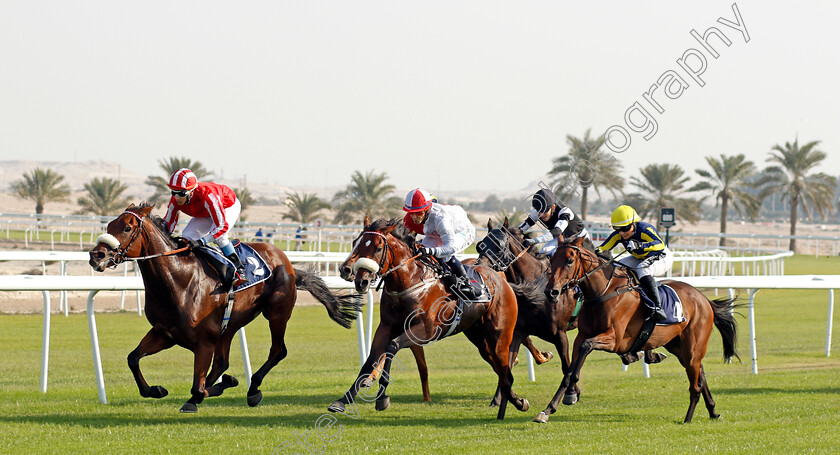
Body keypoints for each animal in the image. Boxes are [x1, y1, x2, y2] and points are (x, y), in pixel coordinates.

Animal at [88, 205, 360, 416]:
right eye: (110, 224)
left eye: (126, 228)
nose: (96, 255)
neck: (177, 280)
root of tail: (286, 261)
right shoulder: (164, 333)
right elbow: (133, 358)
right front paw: (156, 390)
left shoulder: (204, 340)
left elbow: (198, 386)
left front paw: (218, 387)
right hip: (229, 327)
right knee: (221, 363)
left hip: (276, 314)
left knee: (277, 351)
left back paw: (252, 389)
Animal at [536, 239, 740, 424]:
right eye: (551, 260)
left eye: (570, 260)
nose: (551, 292)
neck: (603, 292)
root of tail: (704, 299)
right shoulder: (582, 336)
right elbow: (569, 370)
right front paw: (549, 409)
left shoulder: (615, 340)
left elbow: (584, 351)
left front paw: (568, 396)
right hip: (677, 345)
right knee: (701, 374)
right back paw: (713, 411)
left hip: (692, 346)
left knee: (695, 381)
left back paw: (688, 418)